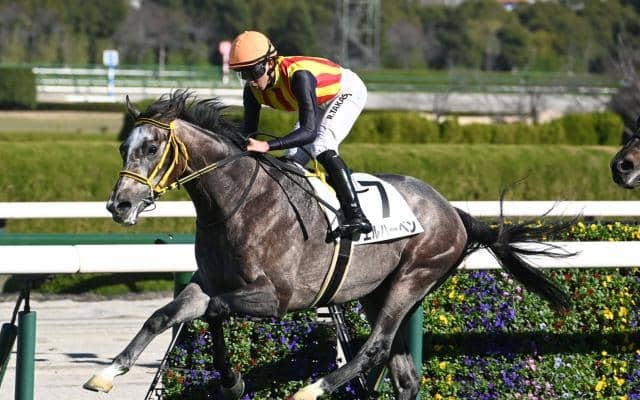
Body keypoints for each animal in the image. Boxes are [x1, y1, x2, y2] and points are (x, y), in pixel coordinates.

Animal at [84, 90, 571, 400]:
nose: (118, 204)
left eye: (150, 147)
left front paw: (232, 379)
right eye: (124, 147)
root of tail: (454, 213)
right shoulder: (208, 281)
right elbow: (166, 315)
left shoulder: (275, 298)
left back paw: (313, 388)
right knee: (404, 373)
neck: (237, 201)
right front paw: (107, 373)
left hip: (414, 277)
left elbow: (216, 312)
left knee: (375, 347)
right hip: (379, 290)